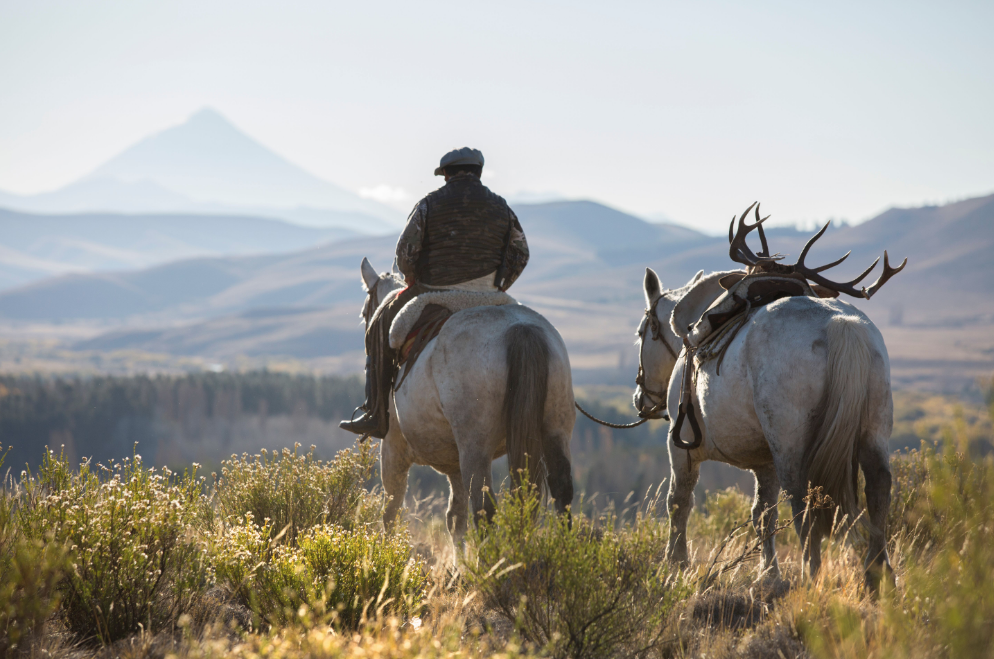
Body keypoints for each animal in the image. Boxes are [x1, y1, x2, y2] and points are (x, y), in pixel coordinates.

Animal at [632, 202, 904, 588]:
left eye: (643, 332)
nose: (641, 398)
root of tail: (842, 327)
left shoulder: (680, 447)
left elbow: (678, 503)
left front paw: (676, 565)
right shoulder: (764, 462)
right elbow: (763, 513)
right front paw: (768, 573)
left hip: (791, 444)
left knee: (804, 503)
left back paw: (811, 574)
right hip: (873, 431)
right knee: (878, 490)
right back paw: (877, 576)